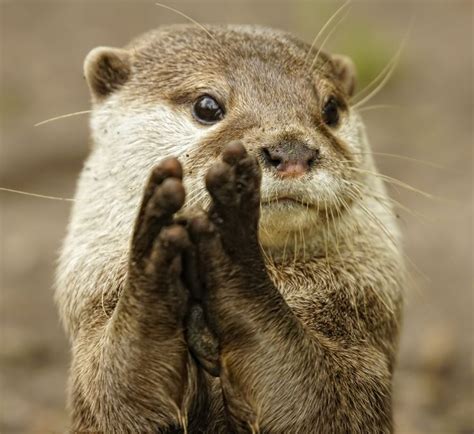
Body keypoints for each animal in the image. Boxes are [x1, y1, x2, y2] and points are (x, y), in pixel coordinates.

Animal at [54, 24, 404, 434]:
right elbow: (118, 390)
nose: (291, 151)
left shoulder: (363, 341)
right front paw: (155, 243)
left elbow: (319, 400)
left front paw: (231, 242)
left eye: (331, 108)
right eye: (207, 106)